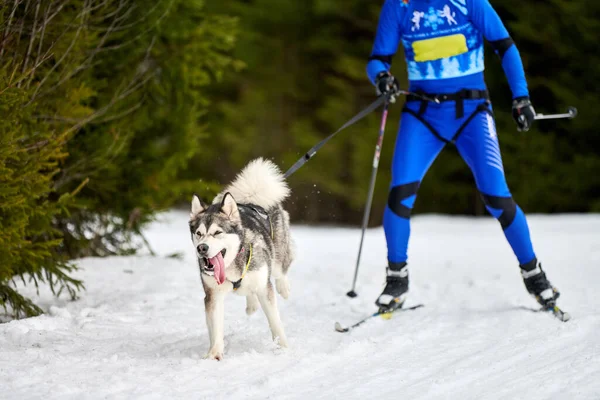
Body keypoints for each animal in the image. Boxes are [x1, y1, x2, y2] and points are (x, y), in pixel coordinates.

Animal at [189, 157, 294, 360]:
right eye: (199, 233)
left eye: (217, 233)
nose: (202, 248)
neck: (231, 266)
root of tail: (250, 199)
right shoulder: (213, 294)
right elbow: (216, 328)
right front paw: (214, 354)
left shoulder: (264, 286)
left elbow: (275, 322)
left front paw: (284, 347)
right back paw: (251, 304)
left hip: (277, 257)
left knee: (281, 269)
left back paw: (284, 288)